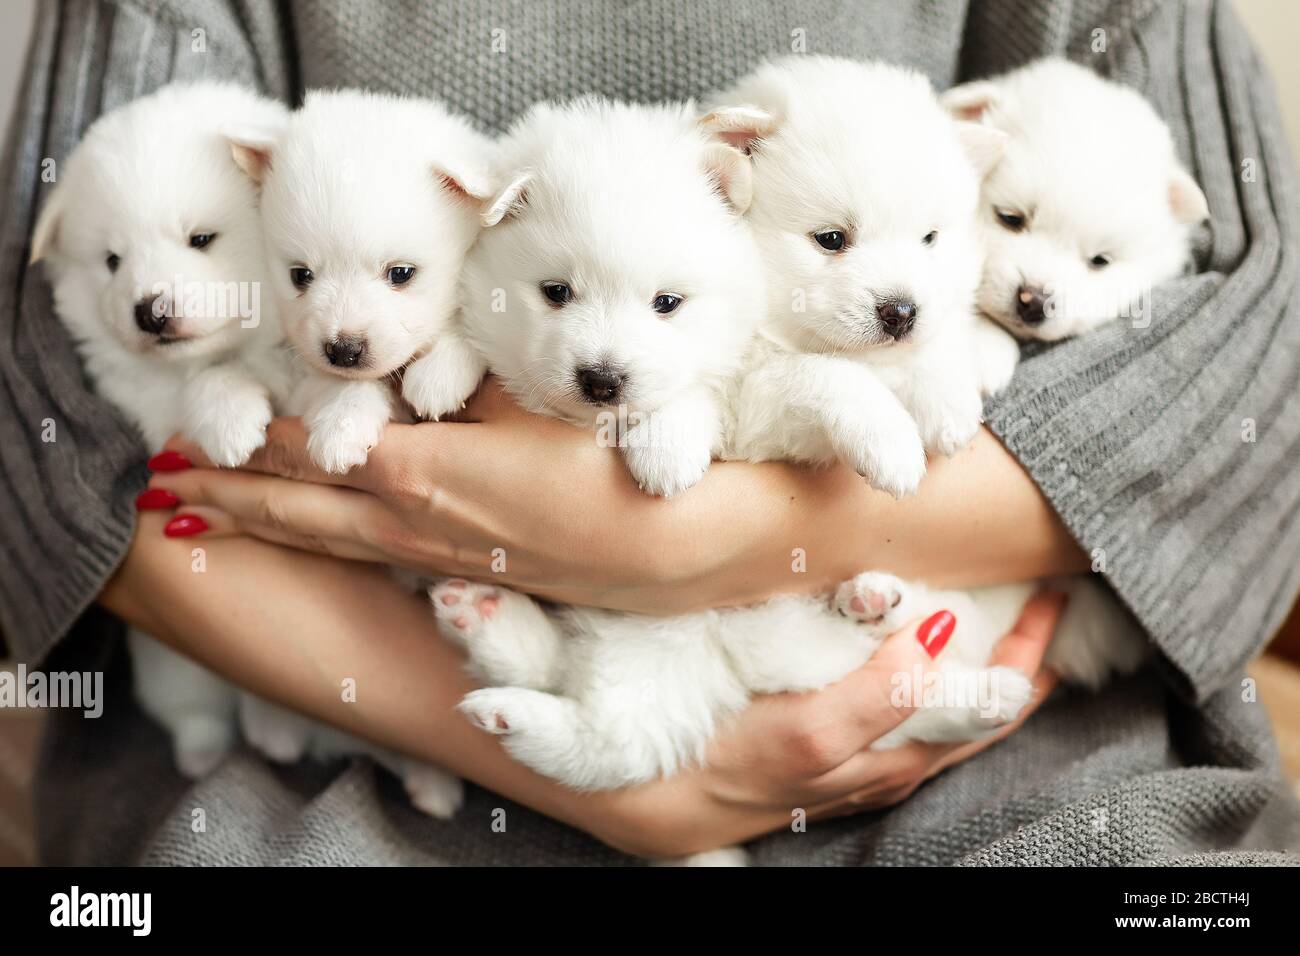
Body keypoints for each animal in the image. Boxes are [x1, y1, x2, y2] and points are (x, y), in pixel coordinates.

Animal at [29, 83, 295, 780]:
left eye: (201, 238)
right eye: (112, 261)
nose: (149, 311)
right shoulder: (148, 411)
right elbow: (196, 387)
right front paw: (229, 418)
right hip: (175, 672)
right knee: (199, 711)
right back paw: (212, 749)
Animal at [226, 91, 493, 473]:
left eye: (401, 273)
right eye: (300, 275)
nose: (343, 350)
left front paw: (442, 371)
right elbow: (347, 385)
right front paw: (342, 420)